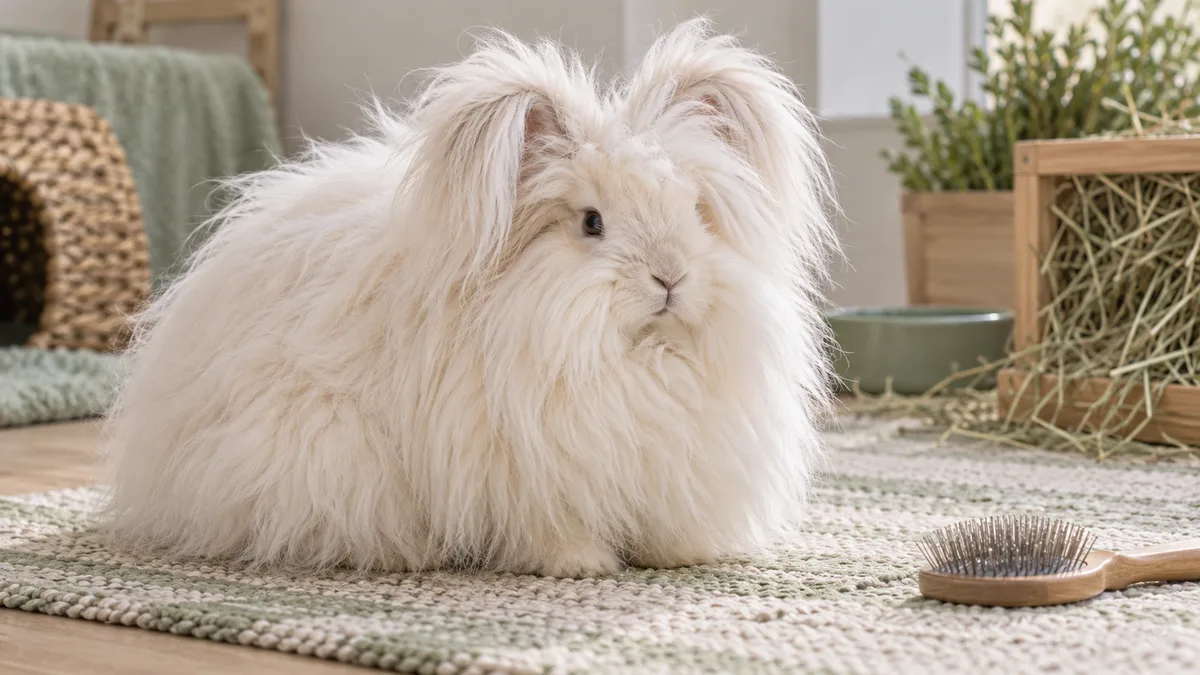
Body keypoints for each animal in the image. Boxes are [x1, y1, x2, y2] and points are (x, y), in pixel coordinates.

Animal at [98, 18, 841, 578]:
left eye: (694, 210)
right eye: (591, 222)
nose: (670, 278)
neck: (630, 361)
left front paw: (680, 555)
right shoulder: (523, 469)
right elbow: (550, 526)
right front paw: (580, 563)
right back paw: (408, 554)